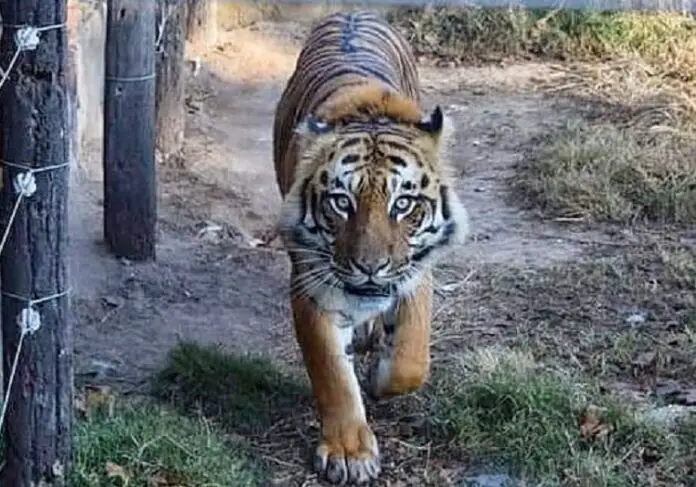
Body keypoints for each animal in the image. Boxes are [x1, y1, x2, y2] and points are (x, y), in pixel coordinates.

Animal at [272, 10, 469, 485]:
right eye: (342, 202)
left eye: (404, 204)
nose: (370, 267)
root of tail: (352, 12)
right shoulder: (311, 284)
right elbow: (332, 374)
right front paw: (348, 454)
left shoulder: (416, 269)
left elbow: (411, 360)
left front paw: (381, 378)